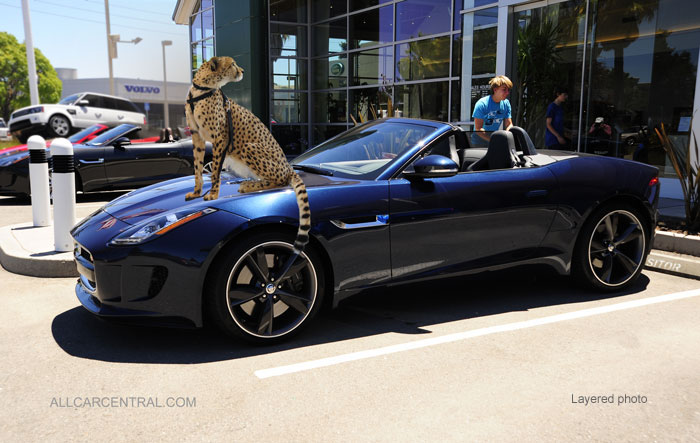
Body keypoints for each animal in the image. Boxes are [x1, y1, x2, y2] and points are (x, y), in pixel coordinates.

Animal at [184, 56, 310, 253]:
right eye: (232, 64)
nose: (242, 71)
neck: (202, 89)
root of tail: (289, 167)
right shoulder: (196, 136)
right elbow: (198, 168)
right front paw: (196, 192)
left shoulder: (220, 138)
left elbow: (215, 172)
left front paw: (212, 194)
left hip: (249, 147)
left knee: (281, 180)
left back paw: (247, 186)